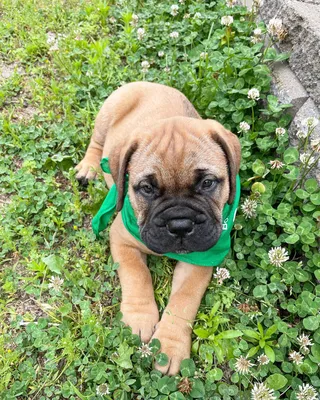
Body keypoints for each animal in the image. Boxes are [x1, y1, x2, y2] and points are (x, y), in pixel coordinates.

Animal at [75, 81, 240, 376]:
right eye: (147, 188)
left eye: (207, 183)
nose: (180, 224)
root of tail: (149, 83)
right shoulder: (122, 238)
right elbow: (136, 275)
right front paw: (139, 318)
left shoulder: (200, 258)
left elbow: (184, 300)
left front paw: (170, 346)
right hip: (106, 116)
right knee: (96, 141)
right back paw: (89, 167)